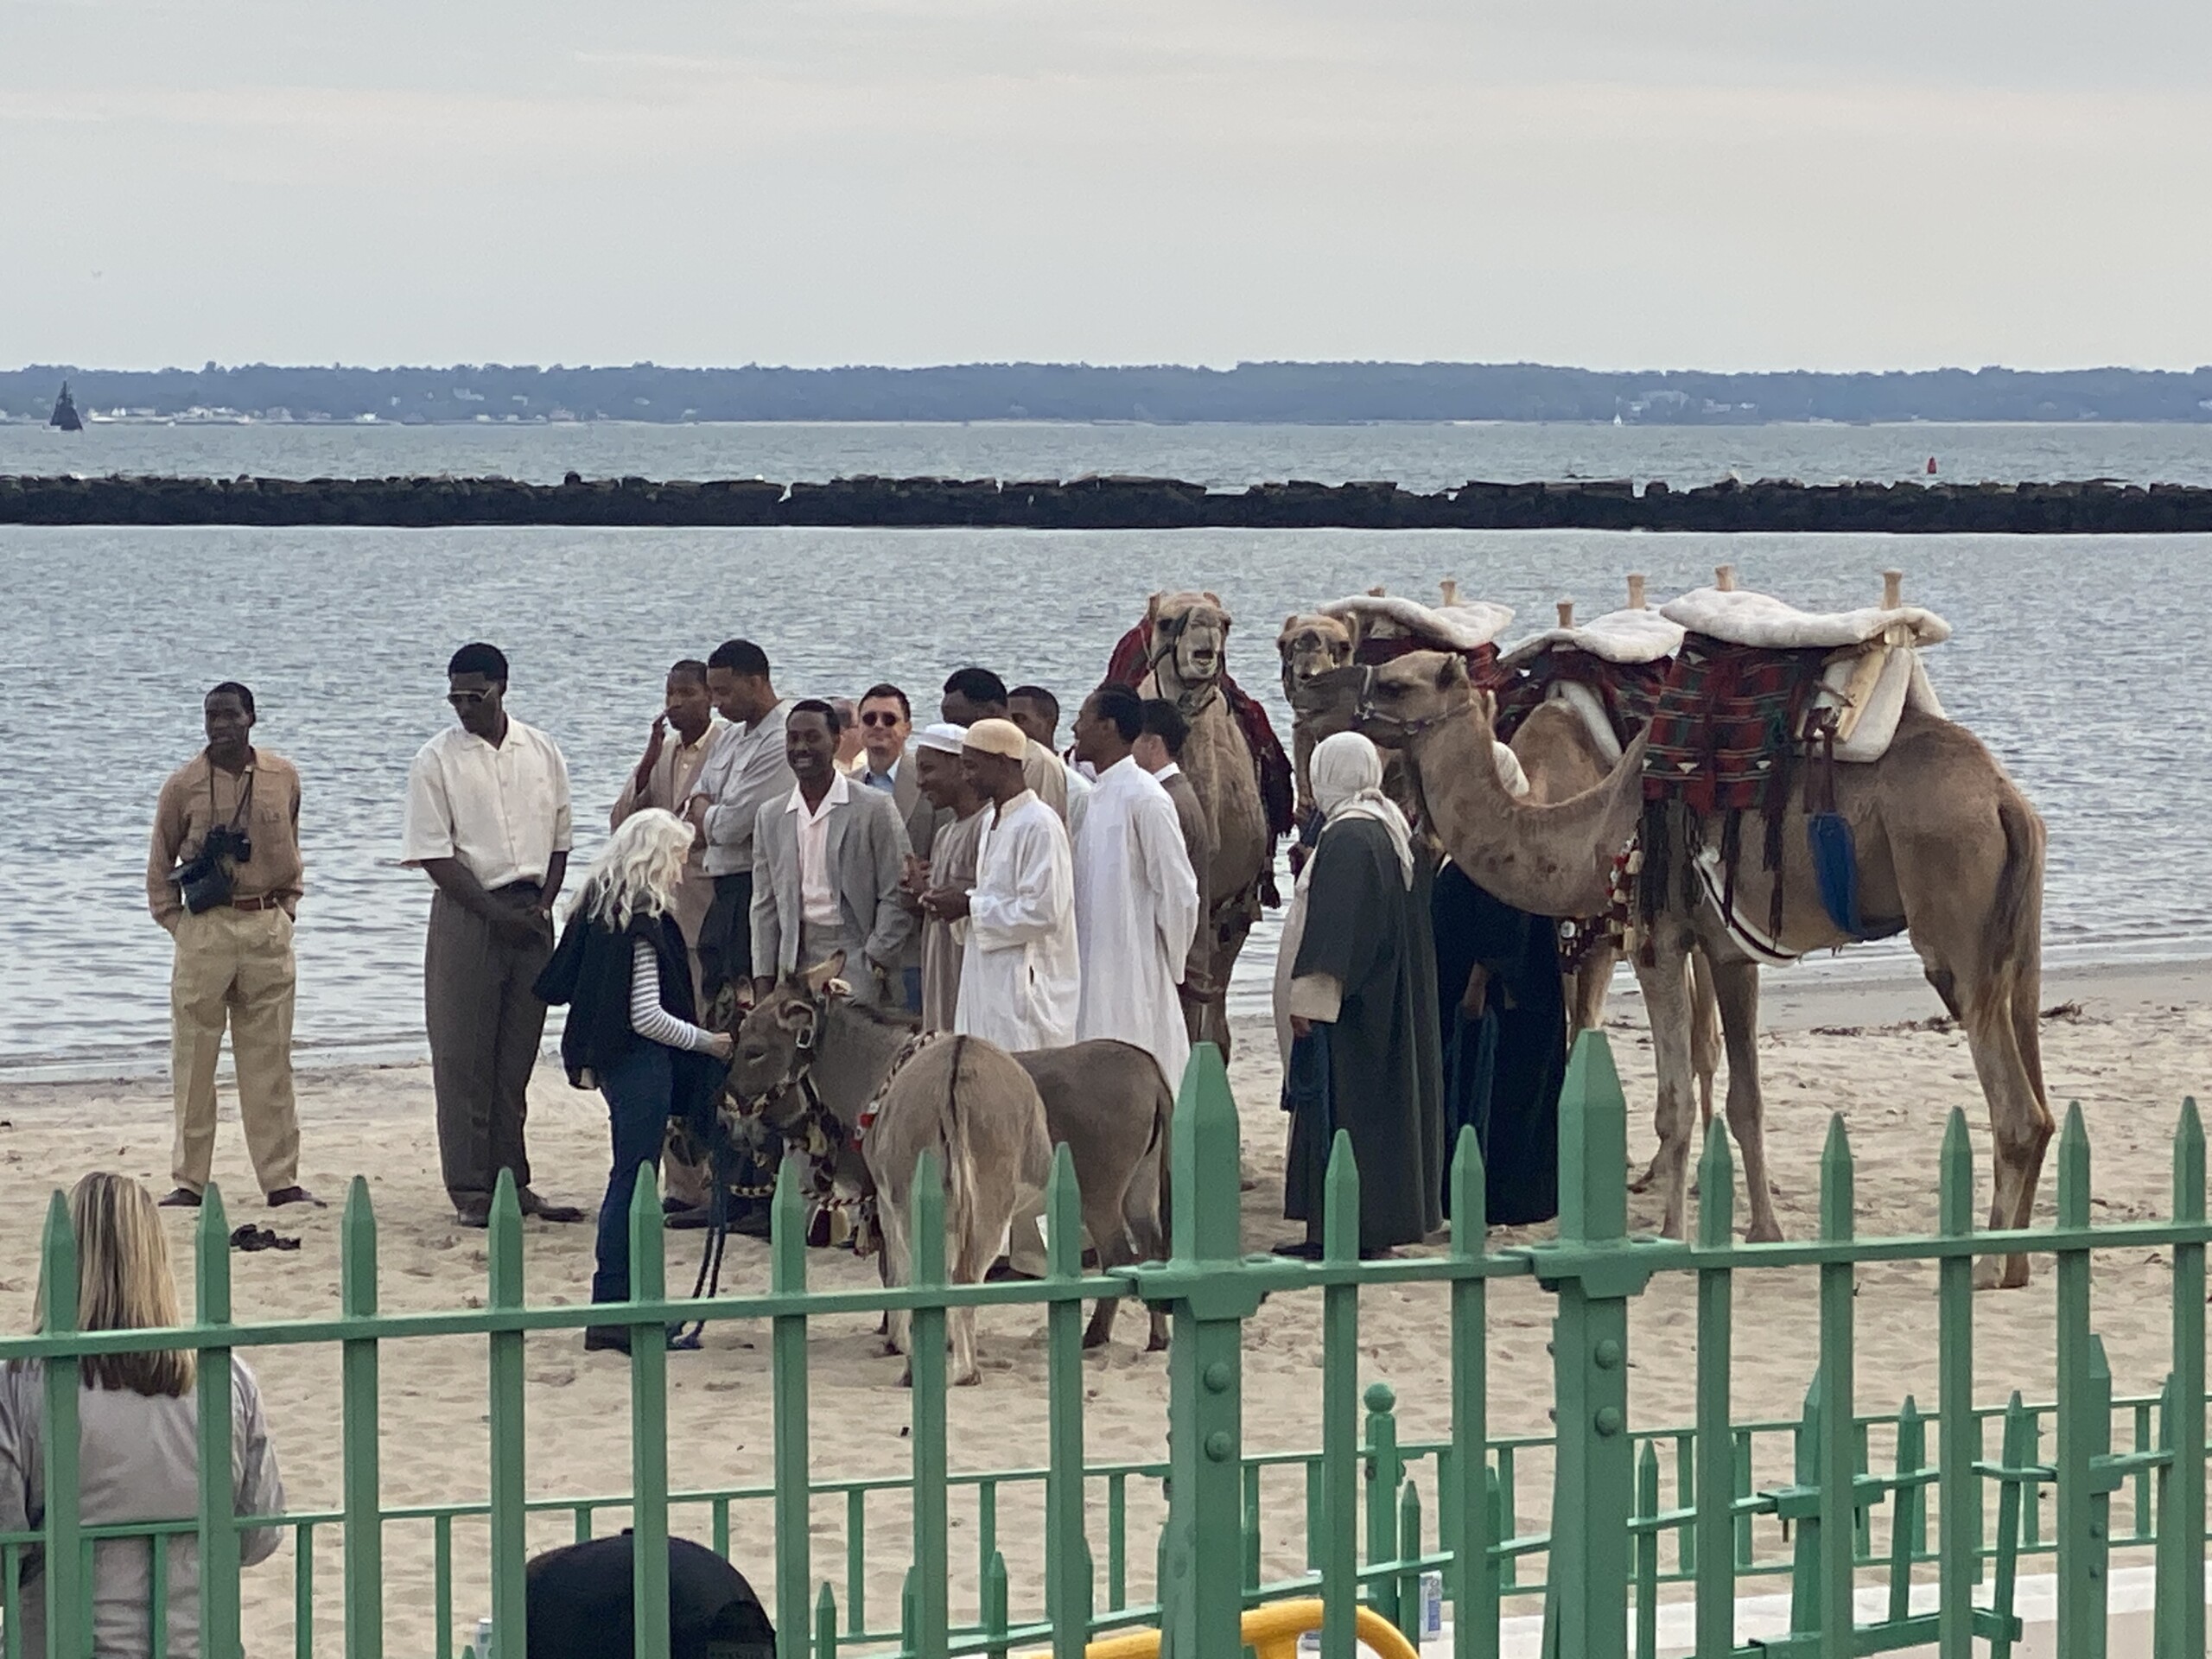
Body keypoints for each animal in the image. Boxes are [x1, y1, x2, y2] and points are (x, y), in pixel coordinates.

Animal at [1292, 654, 2052, 1292]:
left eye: (1395, 682)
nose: (1311, 688)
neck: (1590, 829)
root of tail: (2005, 801)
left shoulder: (1656, 939)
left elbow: (1674, 1100)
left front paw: (1668, 1237)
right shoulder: (1732, 950)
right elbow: (1746, 1099)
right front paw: (1764, 1233)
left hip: (1952, 921)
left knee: (2016, 1110)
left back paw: (1988, 1265)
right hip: (2016, 943)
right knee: (2038, 1098)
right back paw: (2019, 1262)